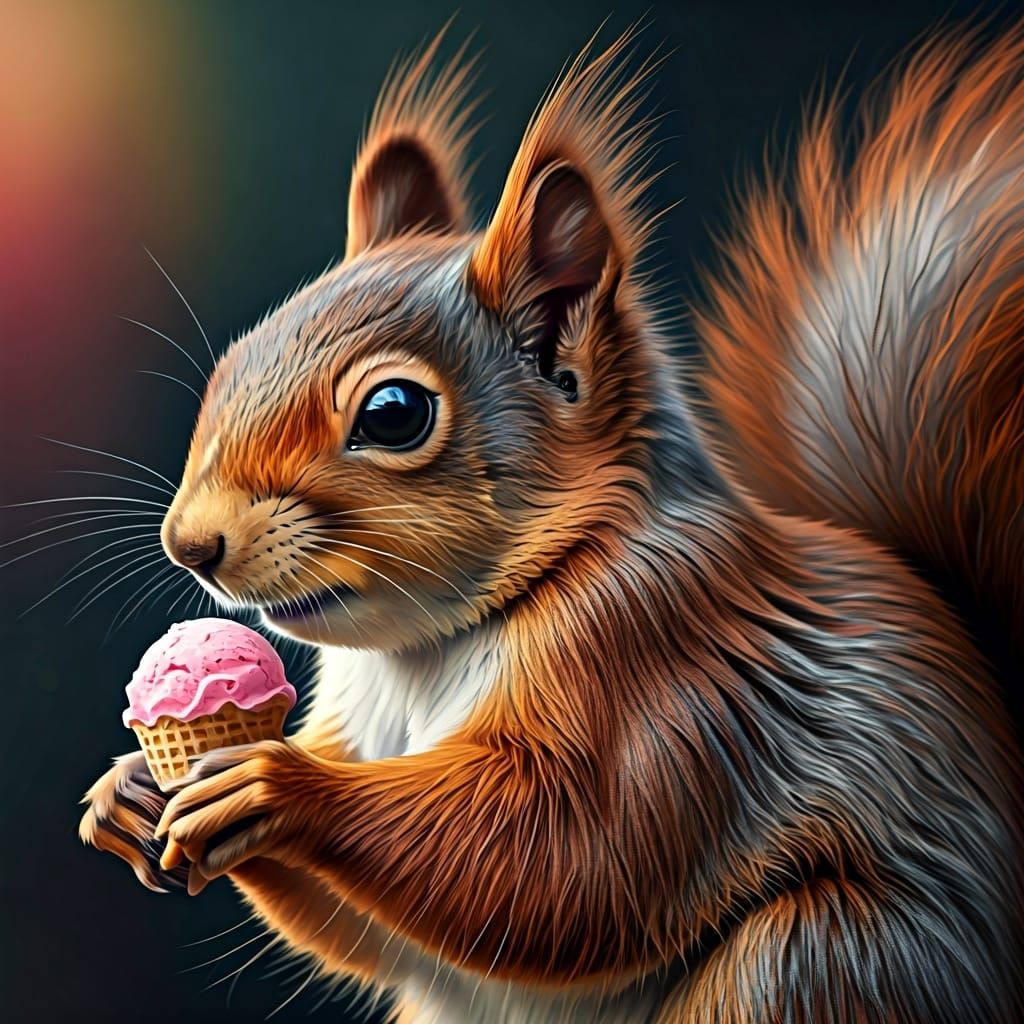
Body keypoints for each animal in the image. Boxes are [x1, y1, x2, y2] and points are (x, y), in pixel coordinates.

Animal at [79, 22, 1023, 1024]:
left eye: (394, 414)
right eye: (232, 363)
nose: (190, 544)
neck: (427, 652)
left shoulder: (669, 676)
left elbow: (569, 859)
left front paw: (276, 784)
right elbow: (373, 935)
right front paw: (127, 789)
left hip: (810, 959)